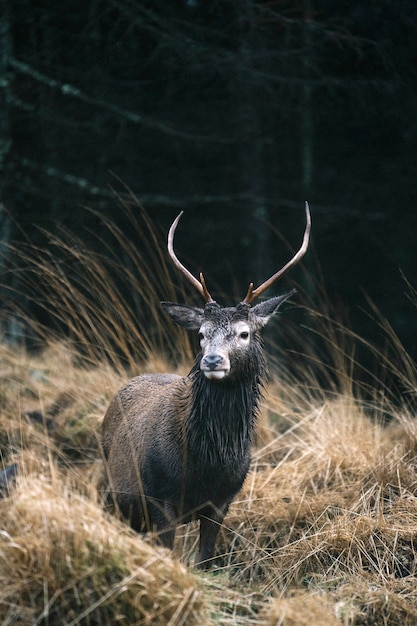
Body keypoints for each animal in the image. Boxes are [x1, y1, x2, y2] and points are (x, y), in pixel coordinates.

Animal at [101, 204, 308, 564]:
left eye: (244, 333)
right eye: (200, 334)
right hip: (114, 491)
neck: (206, 464)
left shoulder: (222, 501)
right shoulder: (159, 498)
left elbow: (207, 562)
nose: (212, 361)